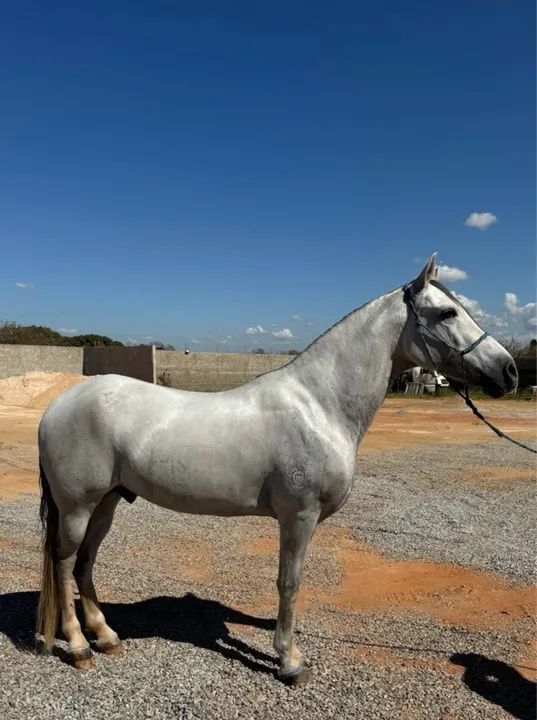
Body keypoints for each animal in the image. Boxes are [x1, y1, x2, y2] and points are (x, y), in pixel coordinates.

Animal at [36, 255, 517, 684]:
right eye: (447, 312)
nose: (509, 372)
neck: (320, 404)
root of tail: (57, 405)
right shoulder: (299, 516)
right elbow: (289, 582)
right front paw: (289, 661)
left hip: (107, 503)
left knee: (84, 564)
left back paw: (106, 636)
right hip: (78, 507)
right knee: (63, 563)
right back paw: (77, 646)